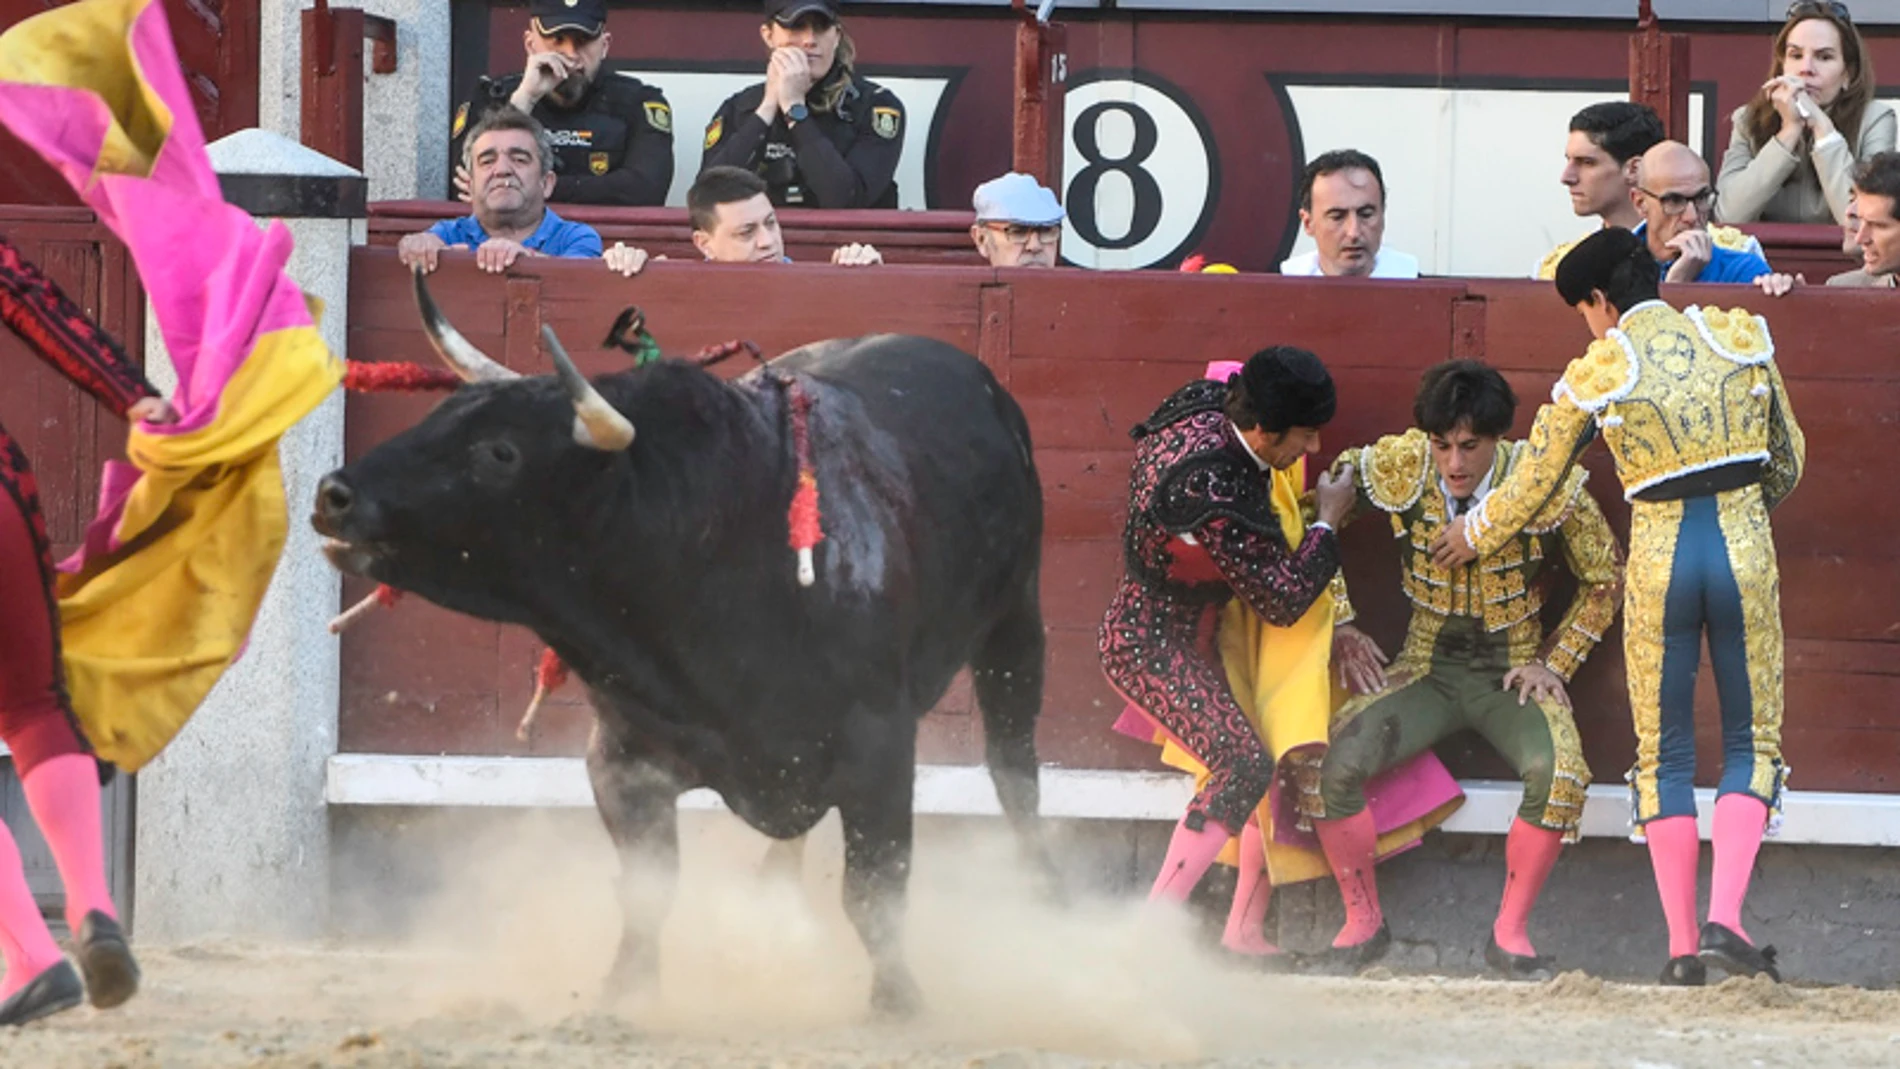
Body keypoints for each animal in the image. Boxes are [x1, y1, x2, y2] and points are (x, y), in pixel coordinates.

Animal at [307, 273, 1056, 1010]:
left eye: (500, 451)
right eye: (436, 417)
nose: (333, 494)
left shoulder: (881, 751)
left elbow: (874, 891)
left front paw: (899, 1002)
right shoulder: (623, 760)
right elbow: (648, 890)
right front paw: (625, 992)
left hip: (1016, 622)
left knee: (1013, 769)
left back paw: (1043, 896)